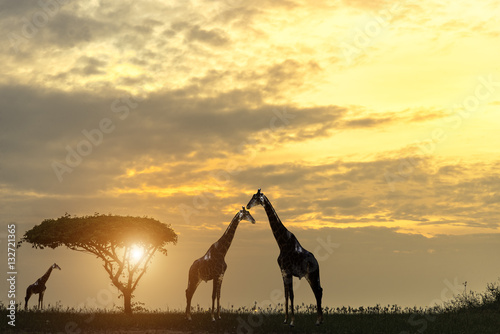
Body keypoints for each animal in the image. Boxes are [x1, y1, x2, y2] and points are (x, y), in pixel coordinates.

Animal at [246, 188, 324, 326]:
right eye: (252, 196)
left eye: (255, 197)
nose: (247, 206)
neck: (282, 243)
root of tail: (317, 262)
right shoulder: (282, 271)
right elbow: (286, 294)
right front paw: (285, 320)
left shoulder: (288, 271)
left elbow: (291, 294)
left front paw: (292, 321)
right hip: (310, 275)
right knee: (318, 290)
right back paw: (320, 320)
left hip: (313, 274)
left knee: (318, 291)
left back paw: (318, 321)